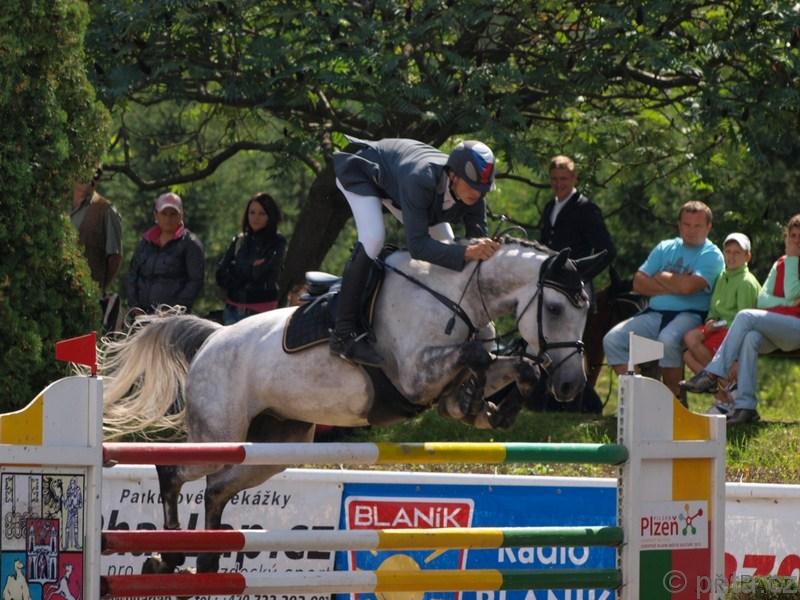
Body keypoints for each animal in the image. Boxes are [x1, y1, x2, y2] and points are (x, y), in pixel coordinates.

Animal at [98, 237, 605, 575]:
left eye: (587, 310)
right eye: (556, 308)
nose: (569, 385)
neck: (459, 298)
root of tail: (213, 337)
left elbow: (512, 367)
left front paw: (495, 407)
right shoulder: (415, 376)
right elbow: (481, 358)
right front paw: (490, 399)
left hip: (275, 446)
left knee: (217, 489)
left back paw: (206, 558)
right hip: (220, 435)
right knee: (174, 472)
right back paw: (168, 556)